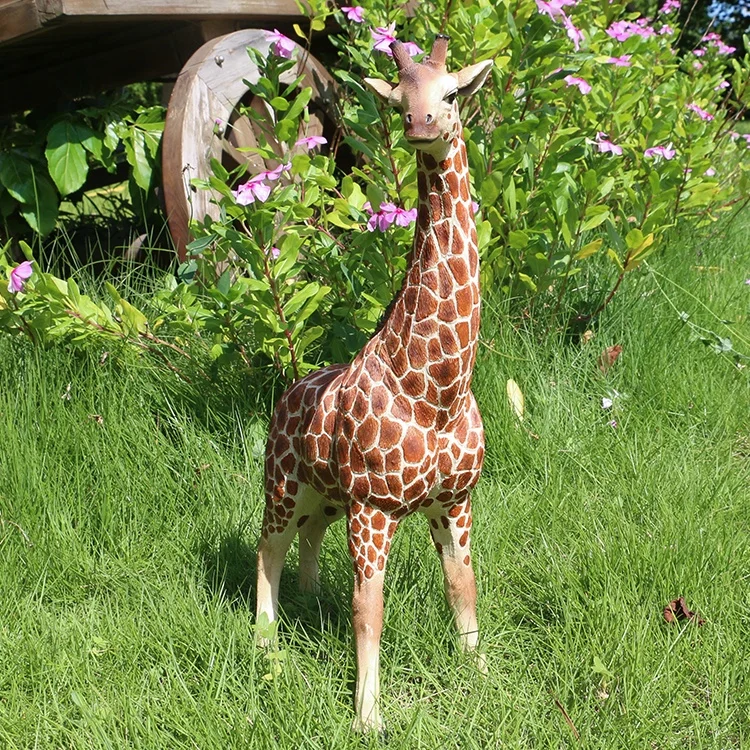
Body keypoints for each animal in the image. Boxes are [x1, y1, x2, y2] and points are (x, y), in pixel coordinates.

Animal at [256, 35, 494, 732]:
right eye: (396, 101)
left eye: (452, 93)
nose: (422, 125)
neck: (438, 389)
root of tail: (288, 392)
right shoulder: (376, 508)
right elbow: (369, 611)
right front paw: (368, 717)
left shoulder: (455, 500)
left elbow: (463, 588)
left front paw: (481, 675)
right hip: (283, 485)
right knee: (267, 548)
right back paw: (265, 643)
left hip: (325, 496)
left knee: (307, 539)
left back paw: (308, 602)